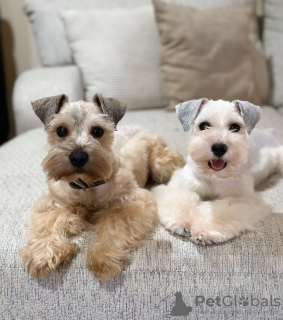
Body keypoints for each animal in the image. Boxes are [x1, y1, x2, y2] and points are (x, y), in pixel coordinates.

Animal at [19, 94, 184, 278]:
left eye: (98, 131)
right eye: (60, 130)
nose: (78, 157)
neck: (87, 184)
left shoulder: (133, 203)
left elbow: (115, 226)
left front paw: (103, 256)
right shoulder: (54, 202)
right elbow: (49, 223)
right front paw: (43, 253)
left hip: (161, 164)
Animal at [153, 99, 283, 245]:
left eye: (235, 127)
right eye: (204, 125)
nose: (219, 148)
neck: (213, 176)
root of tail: (269, 132)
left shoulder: (243, 198)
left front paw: (205, 231)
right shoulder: (181, 185)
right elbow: (181, 198)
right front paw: (181, 222)